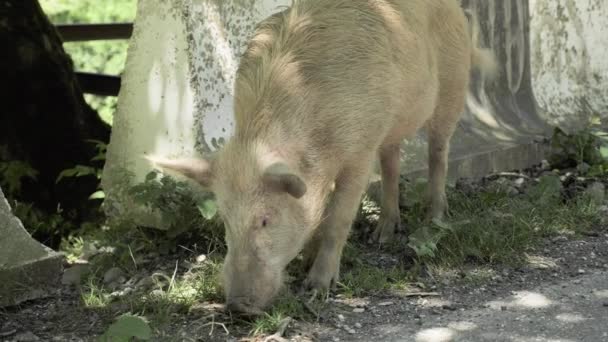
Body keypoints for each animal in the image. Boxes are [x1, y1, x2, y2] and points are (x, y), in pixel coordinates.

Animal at [148, 0, 498, 316]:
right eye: (224, 218)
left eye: (265, 219)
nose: (237, 307)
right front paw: (306, 262)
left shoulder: (360, 152)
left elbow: (338, 218)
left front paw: (316, 288)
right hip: (390, 126)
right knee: (391, 160)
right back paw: (382, 235)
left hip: (453, 86)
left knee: (438, 152)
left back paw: (434, 220)